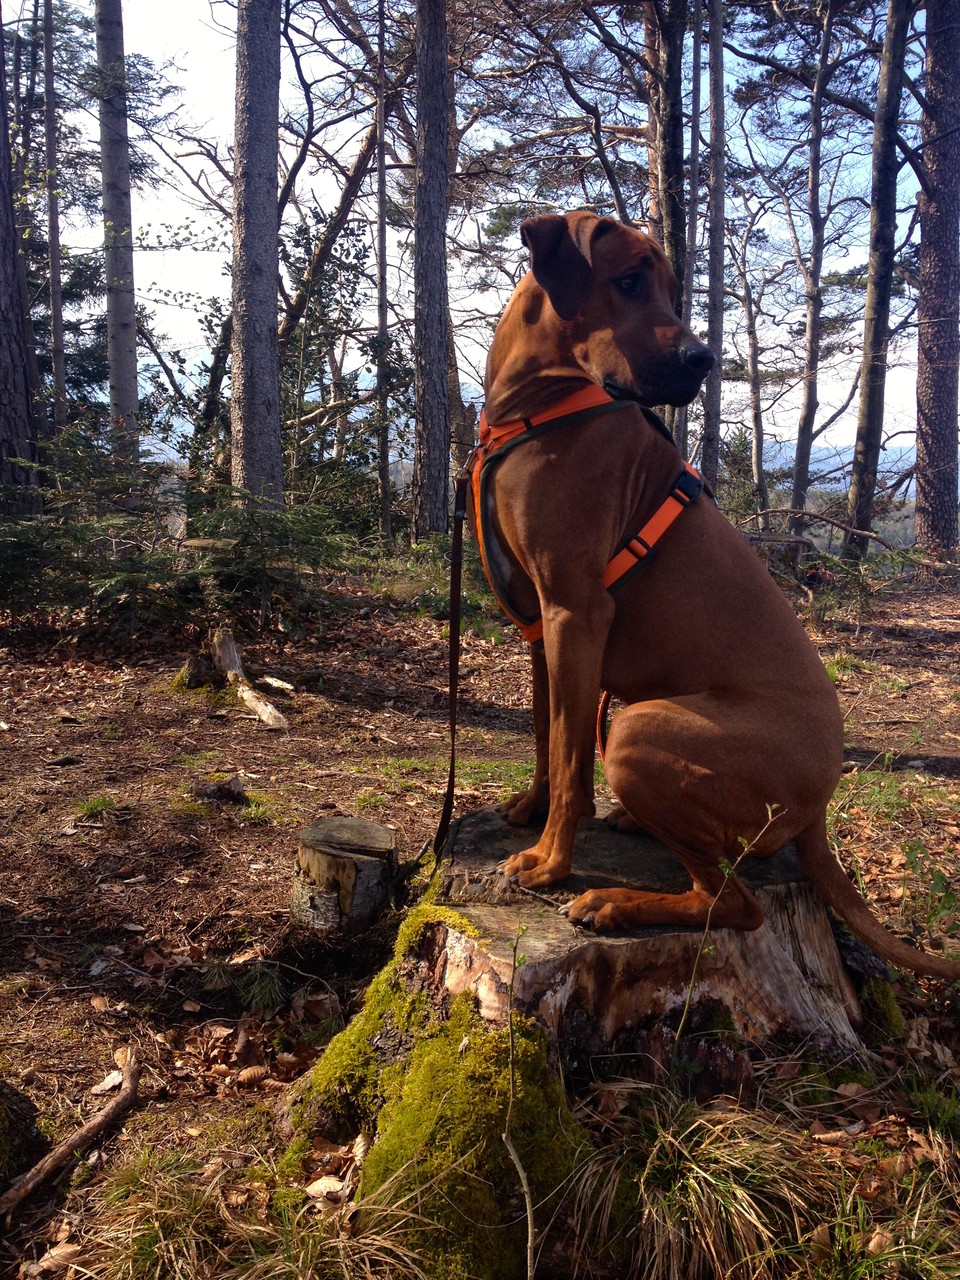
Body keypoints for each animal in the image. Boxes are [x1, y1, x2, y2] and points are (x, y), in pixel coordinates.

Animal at [478, 215, 960, 983]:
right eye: (629, 281)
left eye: (669, 287)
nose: (704, 360)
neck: (538, 405)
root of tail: (821, 810)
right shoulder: (539, 621)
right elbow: (547, 737)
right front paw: (531, 807)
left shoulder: (575, 613)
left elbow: (571, 760)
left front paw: (552, 862)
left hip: (638, 731)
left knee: (733, 902)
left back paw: (617, 902)